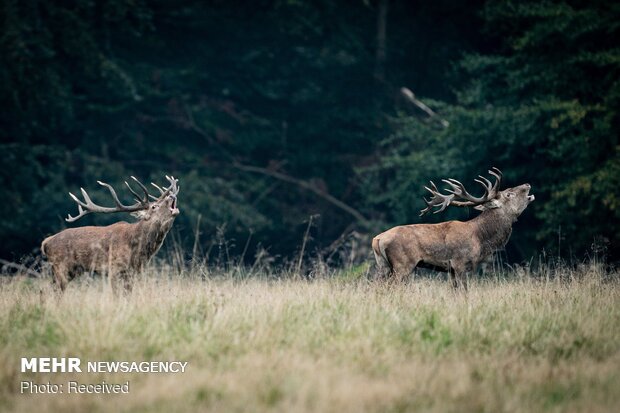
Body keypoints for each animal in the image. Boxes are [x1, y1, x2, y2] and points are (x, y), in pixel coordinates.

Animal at [41, 175, 179, 292]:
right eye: (154, 206)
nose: (171, 196)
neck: (138, 251)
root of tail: (45, 243)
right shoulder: (114, 268)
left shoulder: (133, 272)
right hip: (61, 266)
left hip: (68, 271)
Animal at [370, 169, 536, 288]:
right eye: (509, 194)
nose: (527, 184)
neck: (480, 238)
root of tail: (377, 239)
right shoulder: (460, 262)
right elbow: (464, 290)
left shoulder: (451, 270)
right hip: (402, 264)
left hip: (383, 266)